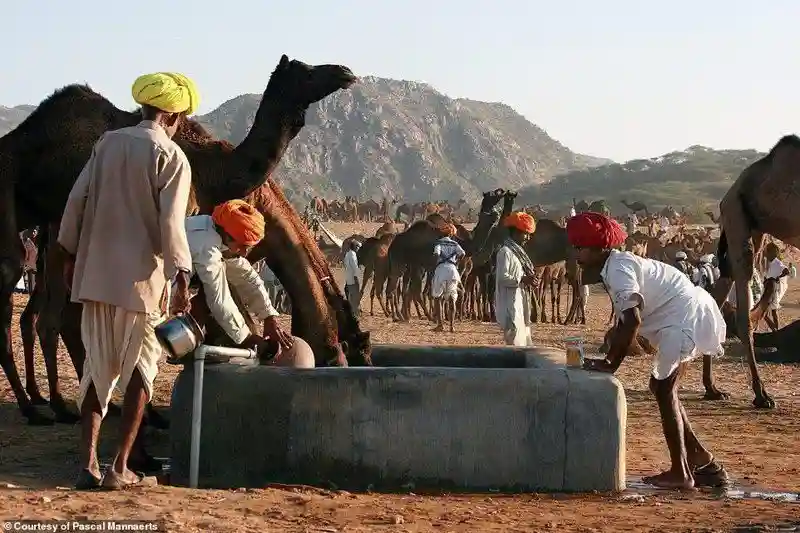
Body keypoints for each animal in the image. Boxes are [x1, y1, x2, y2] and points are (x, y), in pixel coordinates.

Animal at [3, 54, 360, 424]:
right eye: (306, 71)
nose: (345, 72)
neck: (218, 173)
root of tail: (16, 138)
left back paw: (68, 403)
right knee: (33, 297)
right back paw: (46, 407)